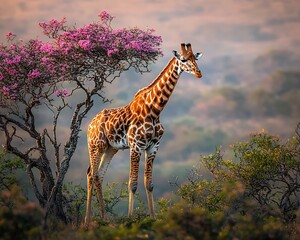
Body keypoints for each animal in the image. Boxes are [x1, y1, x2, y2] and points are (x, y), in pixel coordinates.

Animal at [84, 42, 202, 224]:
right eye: (183, 59)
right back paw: (87, 221)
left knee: (98, 175)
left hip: (111, 149)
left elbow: (149, 183)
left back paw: (104, 218)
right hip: (96, 146)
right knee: (91, 174)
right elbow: (132, 184)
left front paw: (153, 217)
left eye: (195, 58)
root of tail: (90, 124)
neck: (155, 110)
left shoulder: (153, 146)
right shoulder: (136, 146)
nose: (198, 73)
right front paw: (130, 218)